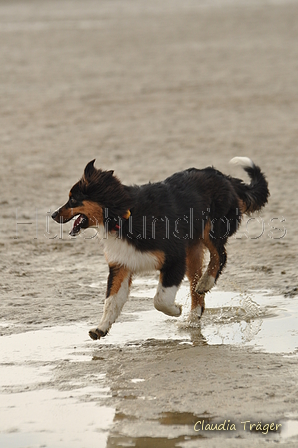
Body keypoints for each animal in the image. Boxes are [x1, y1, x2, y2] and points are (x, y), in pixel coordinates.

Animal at [51, 158, 270, 340]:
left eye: (73, 200)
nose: (53, 215)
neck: (122, 216)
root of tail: (222, 176)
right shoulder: (121, 265)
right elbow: (111, 301)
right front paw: (101, 328)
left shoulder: (174, 259)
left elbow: (160, 299)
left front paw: (176, 309)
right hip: (193, 250)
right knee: (197, 287)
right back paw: (193, 318)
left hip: (211, 231)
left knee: (220, 257)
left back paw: (205, 283)